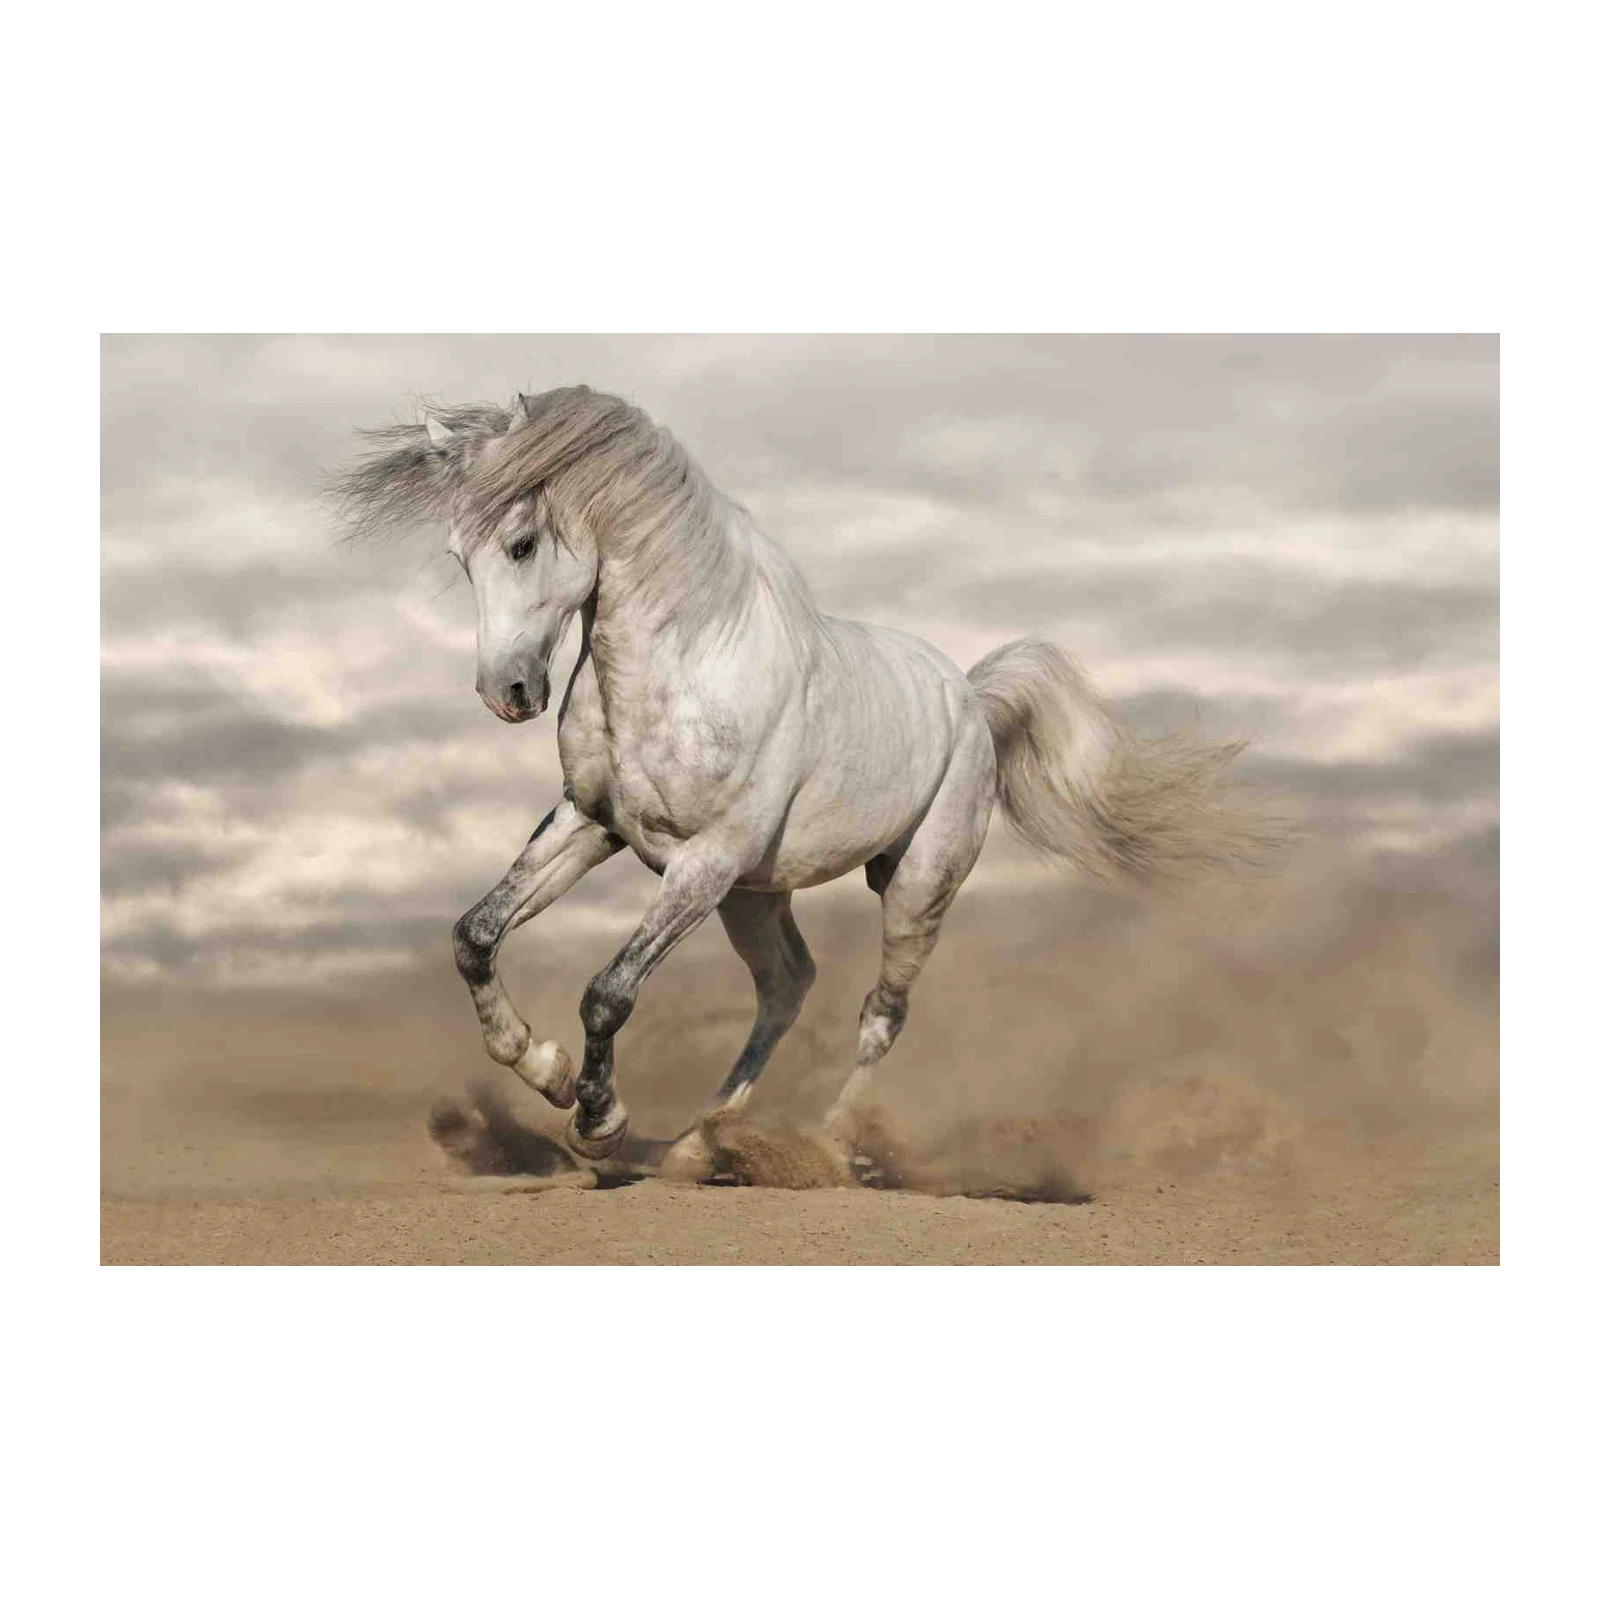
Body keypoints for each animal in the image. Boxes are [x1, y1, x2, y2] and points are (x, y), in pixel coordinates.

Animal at [332, 386, 1286, 1180]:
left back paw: (827, 1147)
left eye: (522, 543)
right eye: (458, 556)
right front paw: (546, 1069)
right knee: (788, 985)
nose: (507, 694)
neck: (680, 667)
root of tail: (971, 700)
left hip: (913, 887)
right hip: (757, 898)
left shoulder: (705, 862)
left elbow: (608, 992)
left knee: (879, 1014)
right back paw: (700, 1145)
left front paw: (598, 1120)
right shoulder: (592, 826)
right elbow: (476, 935)